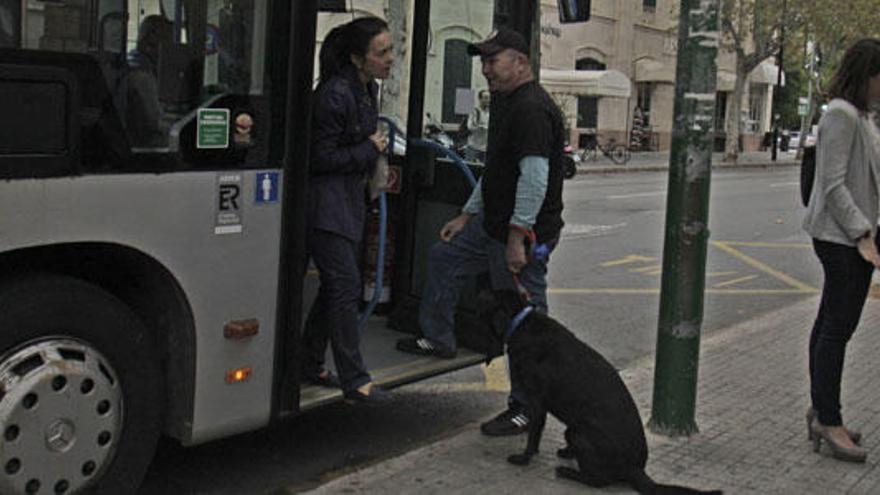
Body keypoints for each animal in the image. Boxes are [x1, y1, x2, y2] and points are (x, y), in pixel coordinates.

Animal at [482, 290, 720, 495]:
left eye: (484, 294)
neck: (521, 322)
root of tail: (636, 469)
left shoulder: (537, 403)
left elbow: (533, 436)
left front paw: (523, 459)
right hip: (573, 429)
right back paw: (568, 454)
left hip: (577, 433)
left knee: (598, 481)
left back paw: (568, 471)